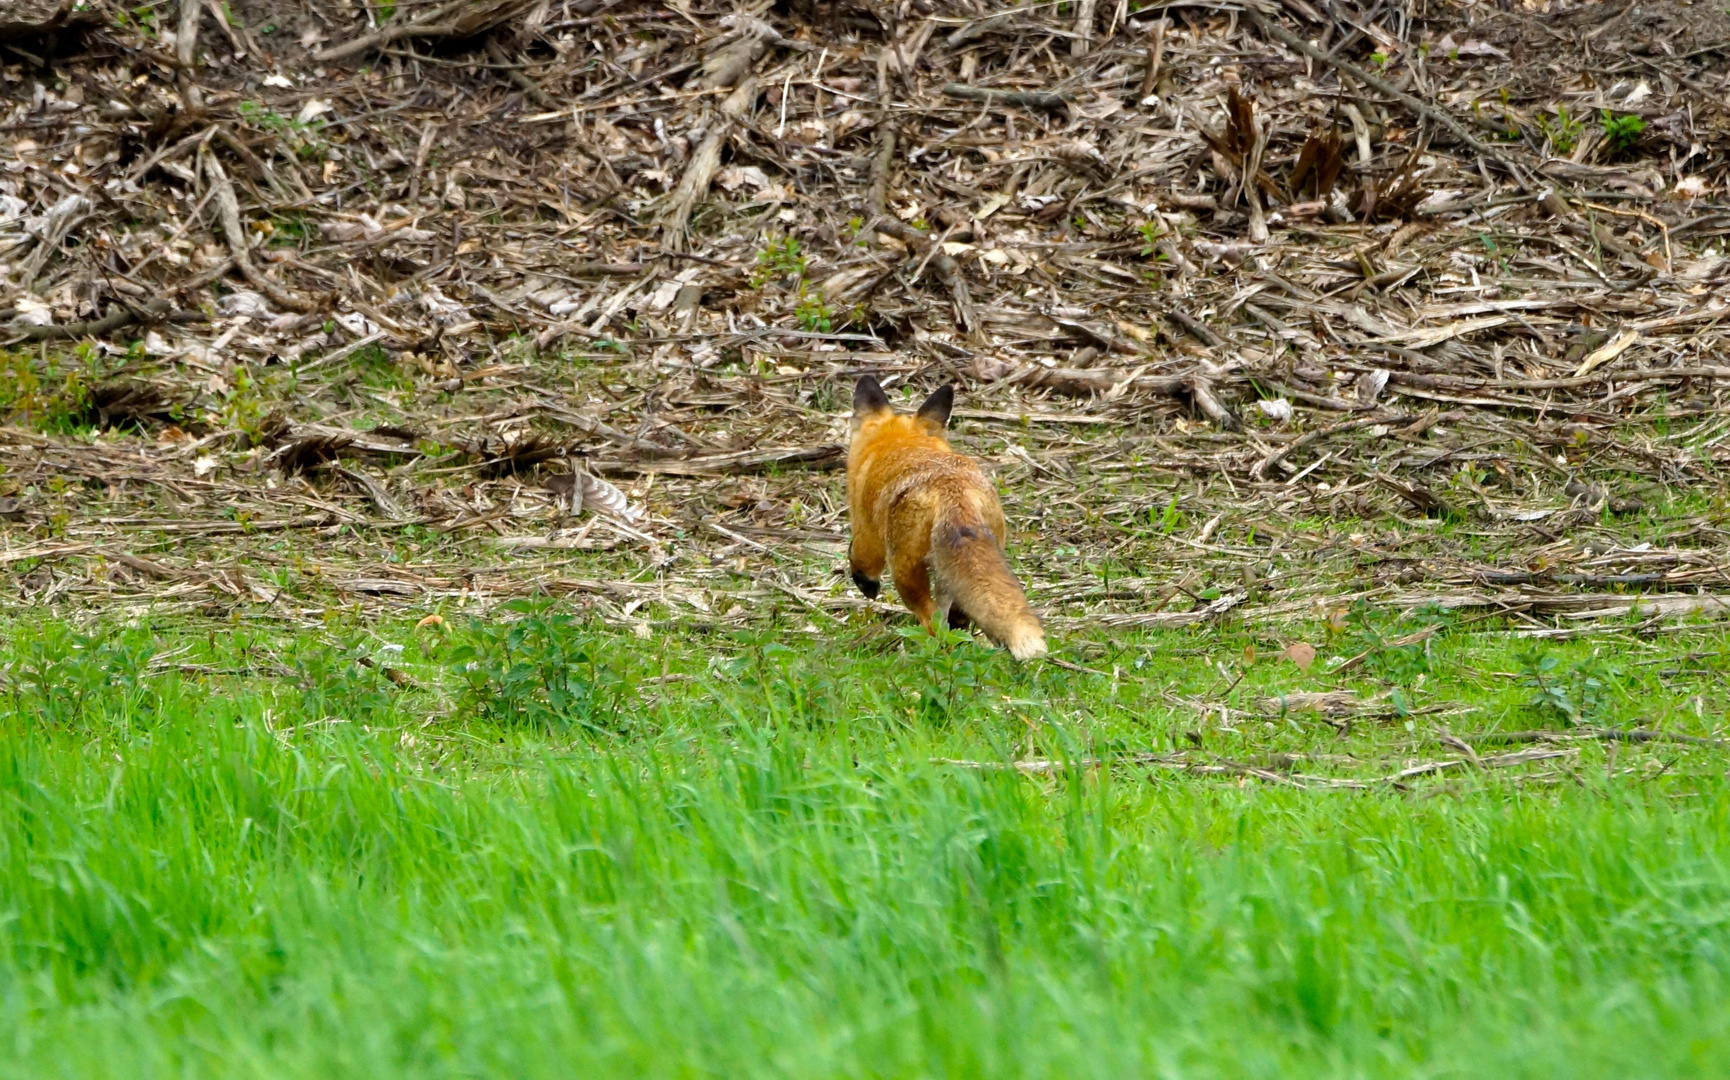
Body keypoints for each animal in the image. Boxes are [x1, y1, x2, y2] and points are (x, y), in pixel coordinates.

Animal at [847, 375, 1044, 657]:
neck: (902, 441)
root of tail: (952, 492)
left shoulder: (867, 531)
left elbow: (859, 559)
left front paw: (866, 585)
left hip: (905, 572)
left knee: (932, 618)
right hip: (966, 563)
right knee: (958, 616)